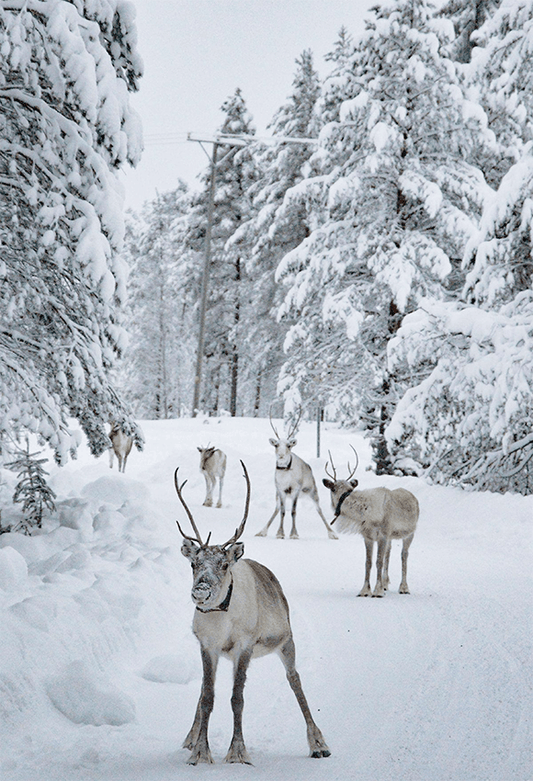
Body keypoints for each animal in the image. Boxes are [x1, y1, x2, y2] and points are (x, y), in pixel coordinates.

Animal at [174, 463, 331, 765]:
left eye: (223, 564)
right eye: (193, 563)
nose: (201, 590)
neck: (220, 617)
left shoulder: (244, 645)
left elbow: (237, 699)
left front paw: (237, 752)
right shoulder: (208, 646)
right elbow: (207, 696)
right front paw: (200, 751)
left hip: (286, 641)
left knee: (295, 680)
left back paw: (318, 743)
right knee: (203, 691)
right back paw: (189, 738)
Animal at [255, 410, 337, 540]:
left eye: (289, 445)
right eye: (276, 445)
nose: (281, 455)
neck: (285, 473)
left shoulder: (295, 490)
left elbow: (293, 511)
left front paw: (294, 534)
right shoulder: (281, 490)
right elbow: (282, 511)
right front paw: (280, 533)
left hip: (312, 491)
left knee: (319, 510)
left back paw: (332, 533)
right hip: (277, 495)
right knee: (277, 509)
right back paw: (262, 531)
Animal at [322, 449, 419, 597]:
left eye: (349, 489)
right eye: (333, 488)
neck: (366, 513)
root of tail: (414, 498)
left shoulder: (383, 535)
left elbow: (378, 561)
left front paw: (377, 591)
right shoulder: (368, 536)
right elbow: (368, 562)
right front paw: (365, 590)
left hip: (410, 533)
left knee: (404, 555)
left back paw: (403, 587)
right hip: (391, 537)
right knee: (389, 554)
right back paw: (385, 584)